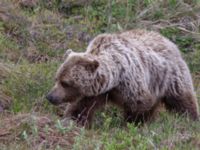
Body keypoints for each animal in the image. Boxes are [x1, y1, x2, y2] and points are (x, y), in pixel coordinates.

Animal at [46, 29, 198, 126]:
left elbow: (139, 106)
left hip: (171, 77)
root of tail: (169, 41)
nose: (50, 96)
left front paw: (133, 124)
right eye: (56, 78)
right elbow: (80, 107)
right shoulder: (94, 92)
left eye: (65, 83)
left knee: (182, 100)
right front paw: (71, 120)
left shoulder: (131, 83)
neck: (114, 79)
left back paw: (191, 120)